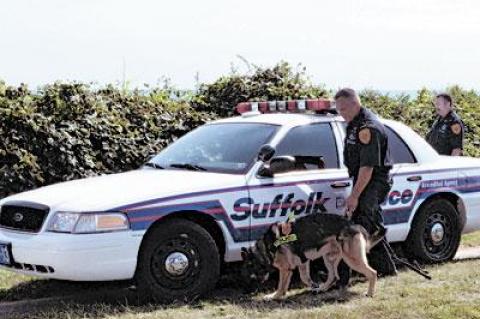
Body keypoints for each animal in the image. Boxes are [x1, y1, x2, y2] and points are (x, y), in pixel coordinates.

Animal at [242, 214, 384, 302]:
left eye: (250, 276)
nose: (247, 292)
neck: (268, 247)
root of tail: (356, 226)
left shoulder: (286, 269)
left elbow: (281, 285)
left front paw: (274, 296)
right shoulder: (302, 262)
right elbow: (304, 278)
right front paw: (313, 284)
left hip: (352, 259)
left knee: (373, 273)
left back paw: (370, 293)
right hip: (328, 258)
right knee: (333, 276)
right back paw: (321, 289)